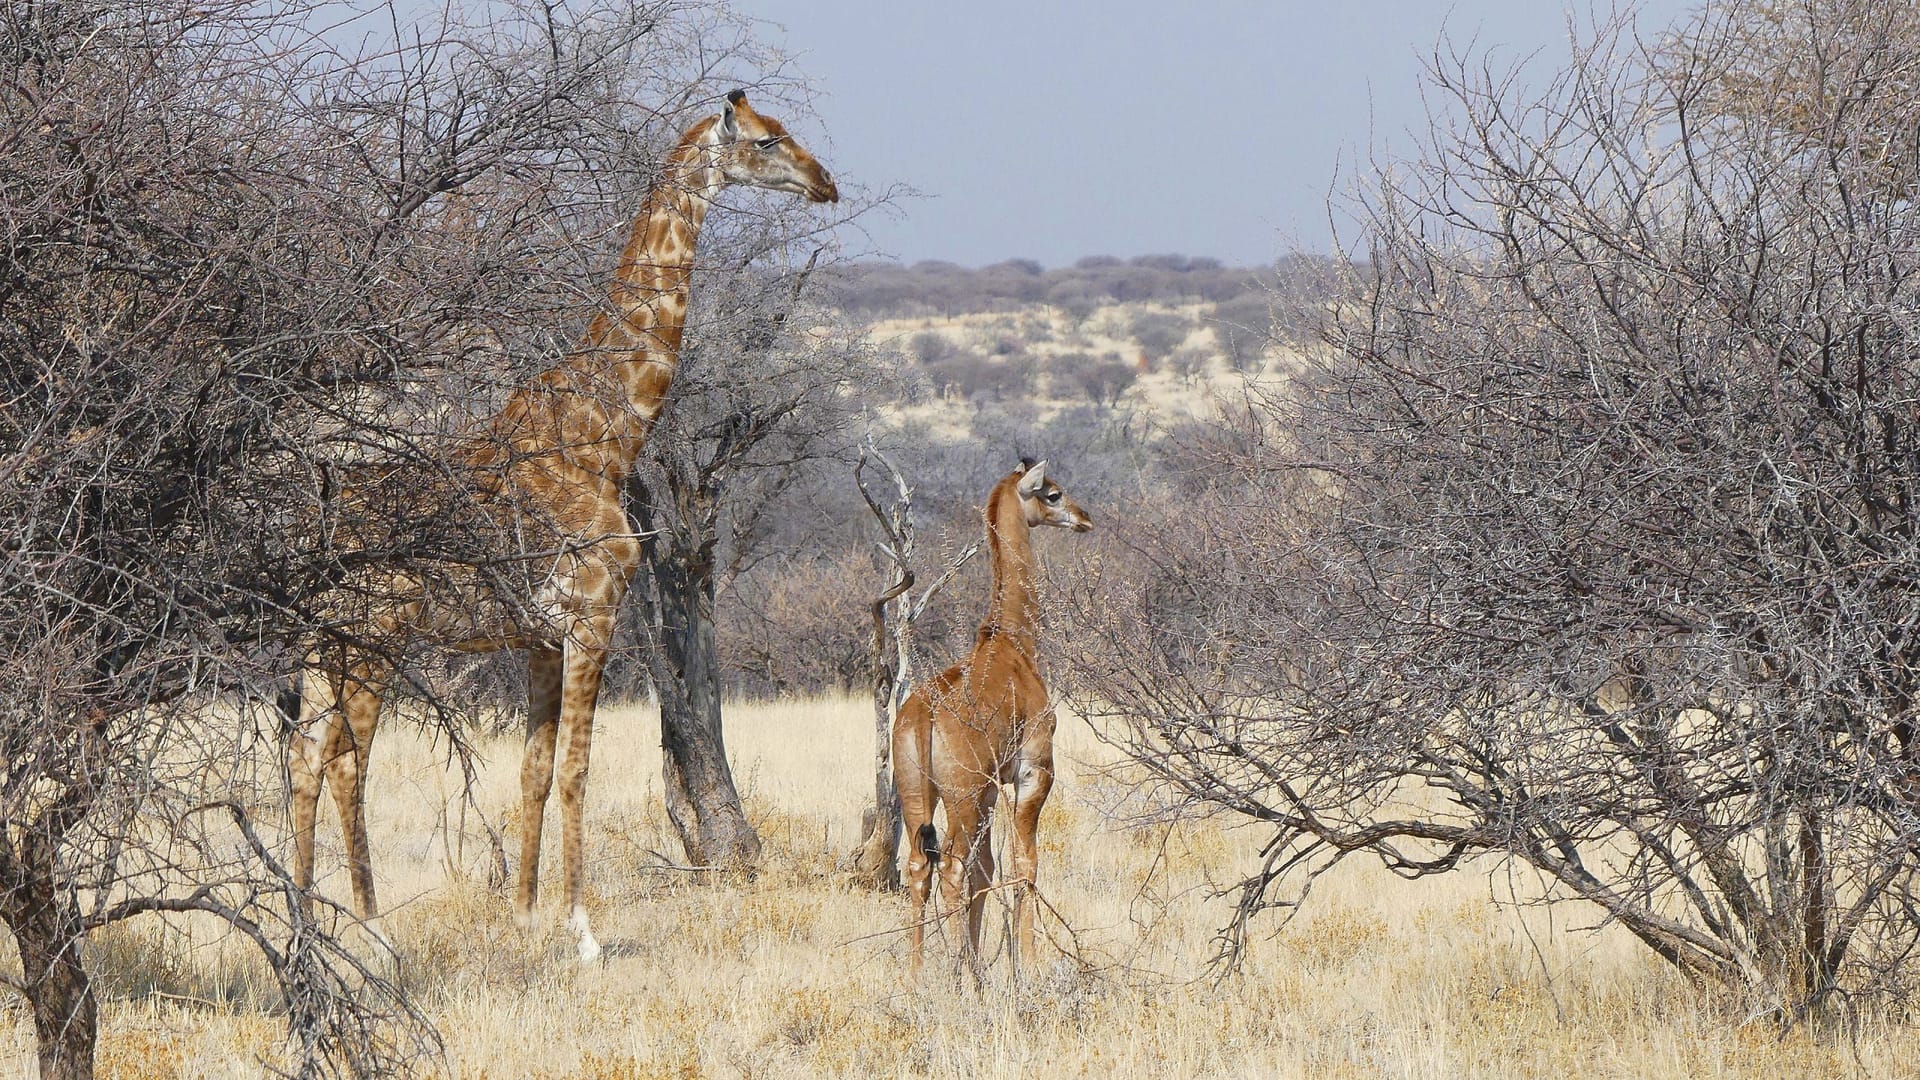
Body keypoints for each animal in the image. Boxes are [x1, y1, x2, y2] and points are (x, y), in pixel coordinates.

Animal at [289, 88, 840, 953]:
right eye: (765, 140)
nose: (827, 184)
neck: (603, 436)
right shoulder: (593, 617)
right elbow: (580, 768)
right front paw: (582, 933)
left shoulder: (542, 637)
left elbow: (535, 770)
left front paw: (523, 918)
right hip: (372, 636)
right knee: (343, 758)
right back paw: (372, 934)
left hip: (326, 643)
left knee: (303, 754)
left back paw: (306, 927)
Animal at [890, 453, 1090, 976]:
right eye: (1052, 492)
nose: (1084, 518)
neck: (1013, 641)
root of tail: (923, 718)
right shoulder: (1032, 770)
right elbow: (1025, 862)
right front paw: (1028, 965)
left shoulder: (989, 790)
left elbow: (988, 870)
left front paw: (983, 962)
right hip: (960, 794)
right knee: (951, 866)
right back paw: (956, 971)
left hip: (919, 791)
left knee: (919, 866)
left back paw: (919, 976)